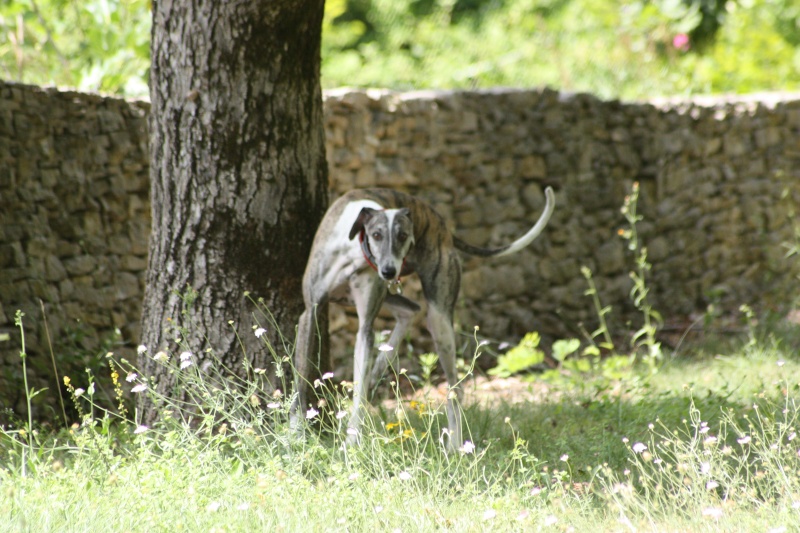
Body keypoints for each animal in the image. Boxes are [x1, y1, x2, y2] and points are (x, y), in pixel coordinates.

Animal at [294, 185, 556, 446]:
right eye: (377, 235)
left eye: (403, 236)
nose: (388, 271)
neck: (354, 252)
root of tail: (444, 228)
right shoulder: (310, 313)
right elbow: (301, 381)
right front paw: (296, 432)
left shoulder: (366, 324)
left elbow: (358, 391)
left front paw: (350, 443)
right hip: (392, 295)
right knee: (411, 310)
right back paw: (380, 366)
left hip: (439, 319)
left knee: (455, 388)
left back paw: (454, 446)